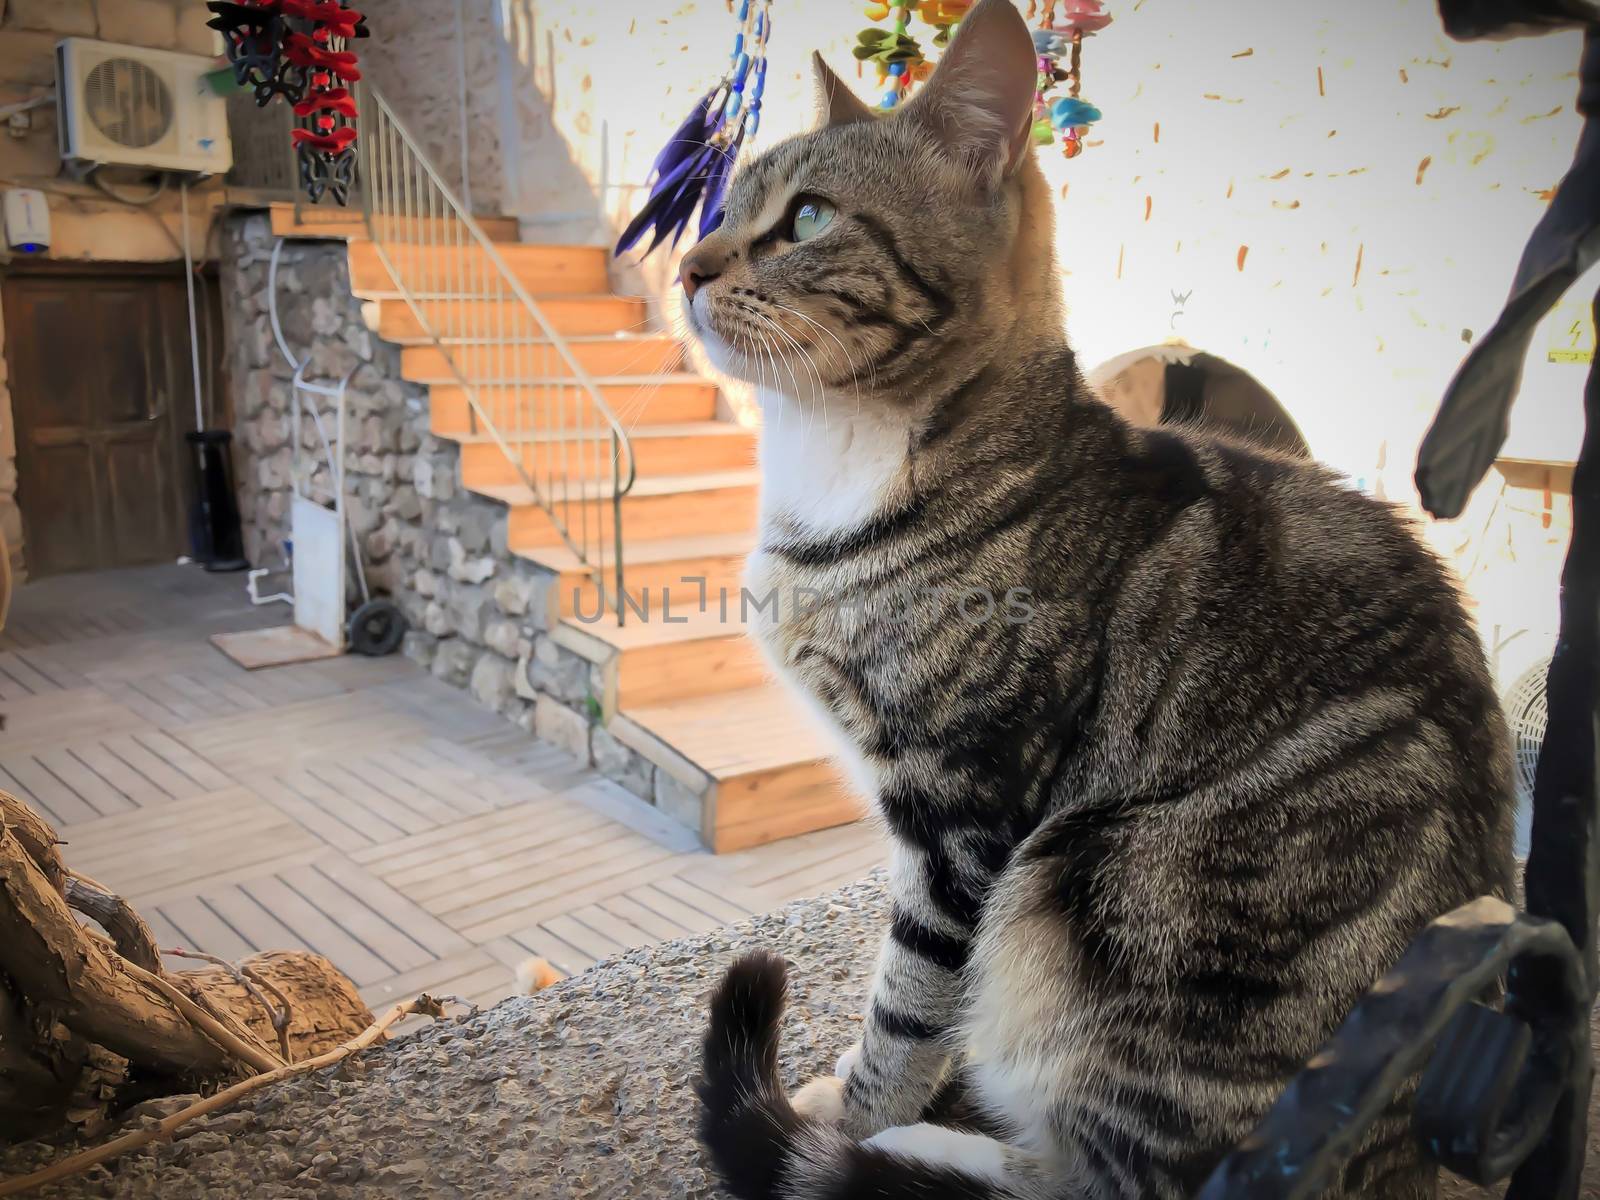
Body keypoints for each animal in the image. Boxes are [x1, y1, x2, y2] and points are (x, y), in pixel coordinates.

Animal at [681, 4, 1516, 1196]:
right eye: (721, 207)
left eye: (805, 218)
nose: (687, 265)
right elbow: (920, 1004)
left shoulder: (967, 814)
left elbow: (912, 997)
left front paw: (855, 1113)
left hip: (1087, 890)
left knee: (1112, 1175)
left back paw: (924, 1147)